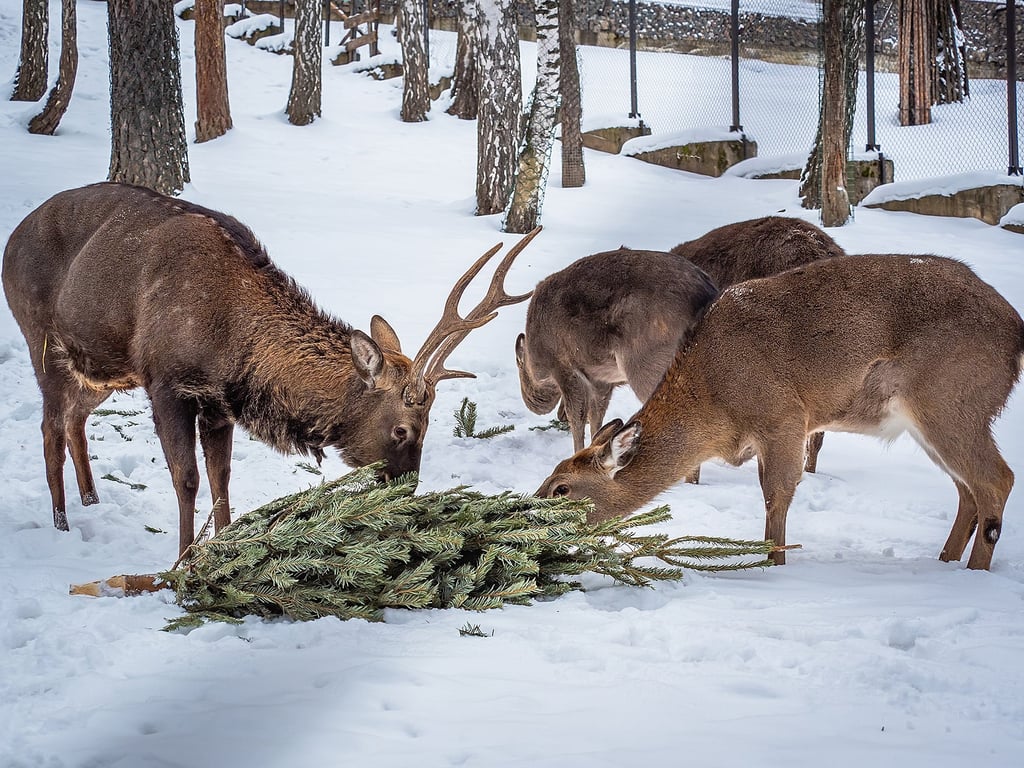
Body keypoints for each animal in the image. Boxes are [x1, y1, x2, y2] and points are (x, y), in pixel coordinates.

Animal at [2, 186, 536, 561]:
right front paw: (181, 563)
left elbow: (222, 480)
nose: (408, 491)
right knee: (49, 426)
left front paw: (222, 551)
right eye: (403, 429)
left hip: (104, 371)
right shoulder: (167, 382)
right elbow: (188, 480)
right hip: (43, 341)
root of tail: (11, 238)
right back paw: (62, 522)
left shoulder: (216, 403)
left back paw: (91, 500)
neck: (232, 340)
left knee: (75, 419)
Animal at [536, 253, 1024, 573]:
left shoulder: (784, 417)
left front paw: (774, 565)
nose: (529, 511)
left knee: (996, 479)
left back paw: (973, 571)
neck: (714, 400)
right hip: (935, 418)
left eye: (562, 488)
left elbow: (777, 496)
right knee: (967, 491)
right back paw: (944, 562)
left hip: (952, 399)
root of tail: (1016, 332)